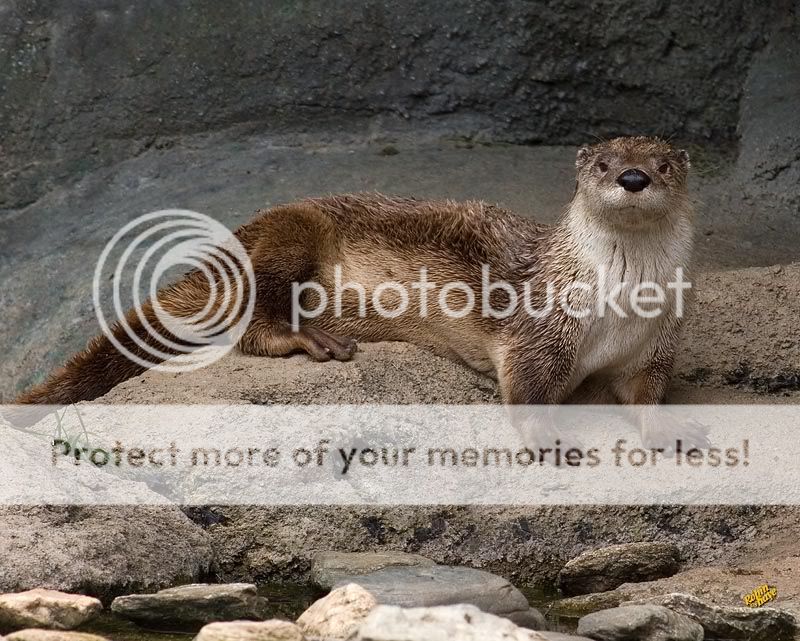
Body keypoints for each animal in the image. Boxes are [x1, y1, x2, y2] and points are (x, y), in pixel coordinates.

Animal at [14, 135, 708, 444]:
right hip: (295, 232)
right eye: (603, 164)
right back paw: (308, 340)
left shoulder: (658, 342)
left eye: (663, 163)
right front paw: (550, 440)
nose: (634, 176)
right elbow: (527, 389)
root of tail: (245, 227)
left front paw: (673, 431)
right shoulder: (539, 330)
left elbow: (644, 392)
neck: (620, 301)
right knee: (253, 316)